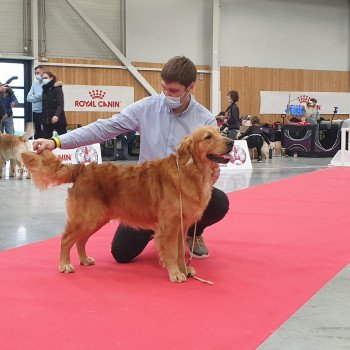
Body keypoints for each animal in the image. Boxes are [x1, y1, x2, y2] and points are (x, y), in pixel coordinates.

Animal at [23, 125, 234, 282]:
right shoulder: (169, 226)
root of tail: (82, 169)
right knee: (66, 238)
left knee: (81, 240)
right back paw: (65, 264)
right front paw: (175, 273)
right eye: (208, 137)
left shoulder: (181, 226)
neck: (190, 171)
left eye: (220, 132)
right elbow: (172, 252)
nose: (231, 142)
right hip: (86, 217)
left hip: (97, 218)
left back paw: (84, 259)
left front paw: (185, 269)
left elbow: (181, 251)